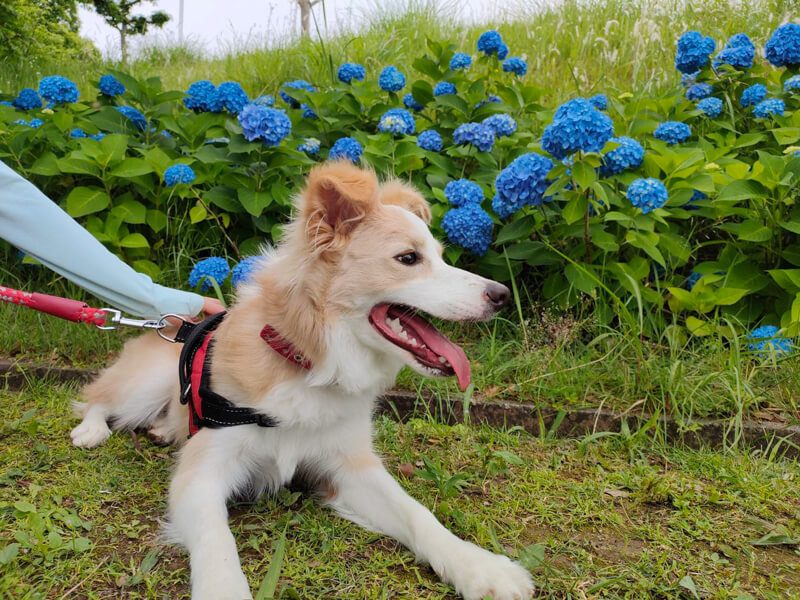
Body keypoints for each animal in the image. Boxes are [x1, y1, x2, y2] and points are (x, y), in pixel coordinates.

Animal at [72, 162, 536, 596]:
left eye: (440, 256)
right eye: (408, 258)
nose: (501, 295)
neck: (307, 364)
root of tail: (174, 324)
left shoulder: (348, 465)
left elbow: (417, 513)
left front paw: (481, 568)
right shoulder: (202, 471)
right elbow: (217, 540)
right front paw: (225, 589)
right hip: (145, 384)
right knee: (98, 396)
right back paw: (92, 430)